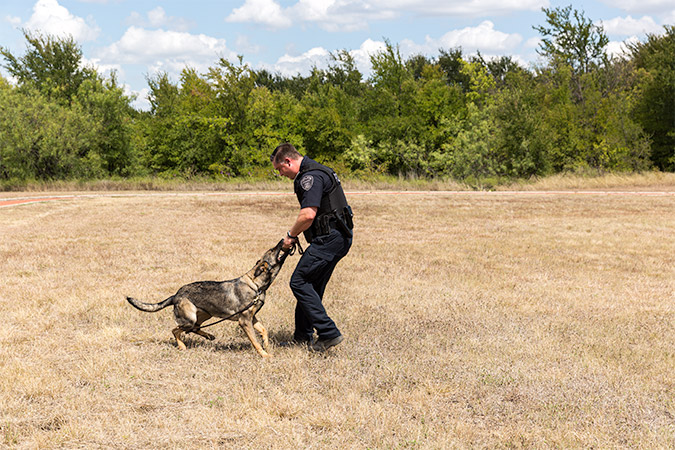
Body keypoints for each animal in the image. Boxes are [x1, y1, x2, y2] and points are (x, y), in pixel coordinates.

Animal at [128, 241, 290, 356]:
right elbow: (255, 342)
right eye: (272, 250)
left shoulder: (252, 318)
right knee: (176, 330)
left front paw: (267, 346)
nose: (284, 240)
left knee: (194, 328)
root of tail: (176, 295)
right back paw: (182, 346)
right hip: (190, 318)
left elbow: (263, 330)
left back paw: (209, 336)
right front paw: (265, 355)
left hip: (206, 314)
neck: (256, 285)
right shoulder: (244, 321)